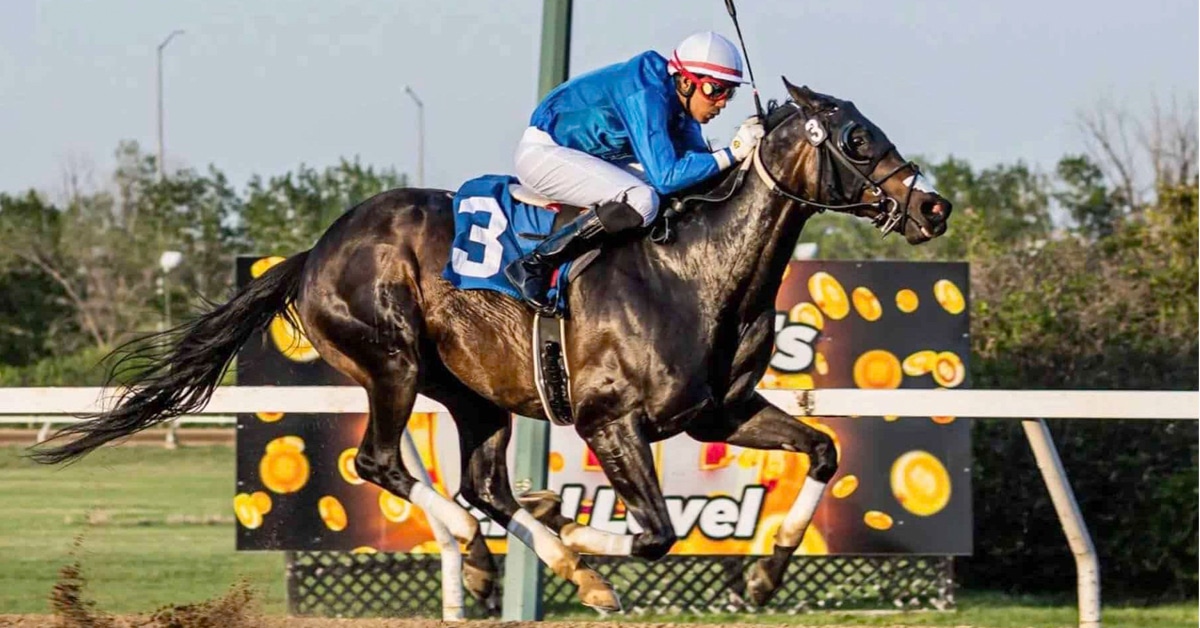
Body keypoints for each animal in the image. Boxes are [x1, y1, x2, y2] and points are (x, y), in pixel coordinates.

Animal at [33, 78, 951, 612]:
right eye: (858, 139)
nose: (933, 207)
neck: (693, 272)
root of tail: (314, 251)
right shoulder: (611, 420)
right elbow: (655, 530)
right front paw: (585, 539)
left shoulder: (718, 413)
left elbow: (825, 451)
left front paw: (764, 573)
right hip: (391, 361)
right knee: (383, 463)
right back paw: (503, 555)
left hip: (475, 394)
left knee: (483, 486)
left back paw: (528, 553)